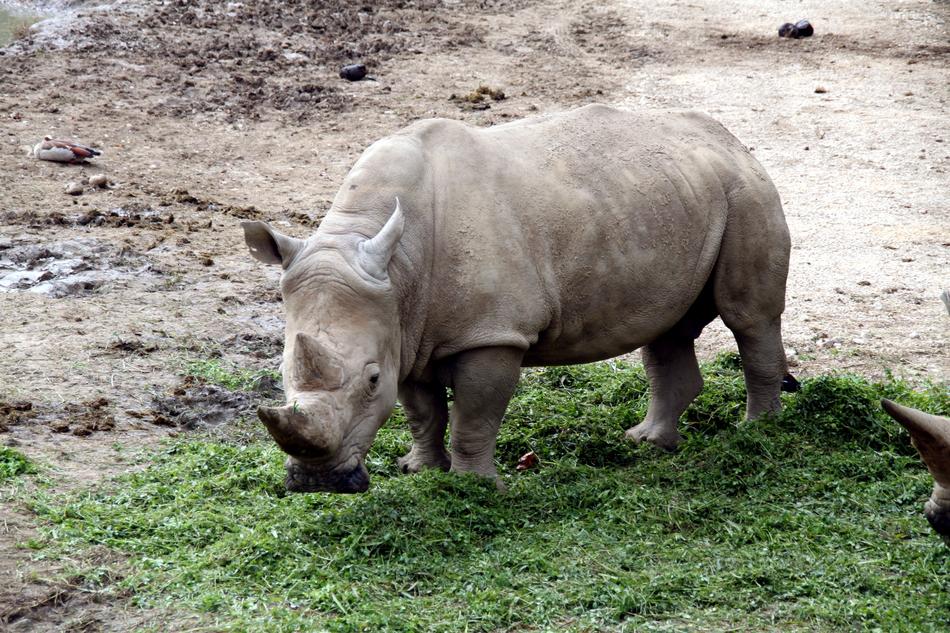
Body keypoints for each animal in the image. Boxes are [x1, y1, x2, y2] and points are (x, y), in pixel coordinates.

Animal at [241, 104, 792, 493]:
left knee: (749, 318)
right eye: (282, 373)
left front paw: (472, 488)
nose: (316, 483)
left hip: (746, 192)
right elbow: (422, 411)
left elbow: (474, 414)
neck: (397, 267)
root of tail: (729, 139)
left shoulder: (491, 333)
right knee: (664, 326)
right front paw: (420, 469)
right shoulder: (406, 327)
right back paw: (648, 442)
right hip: (678, 196)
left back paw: (755, 432)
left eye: (371, 380)